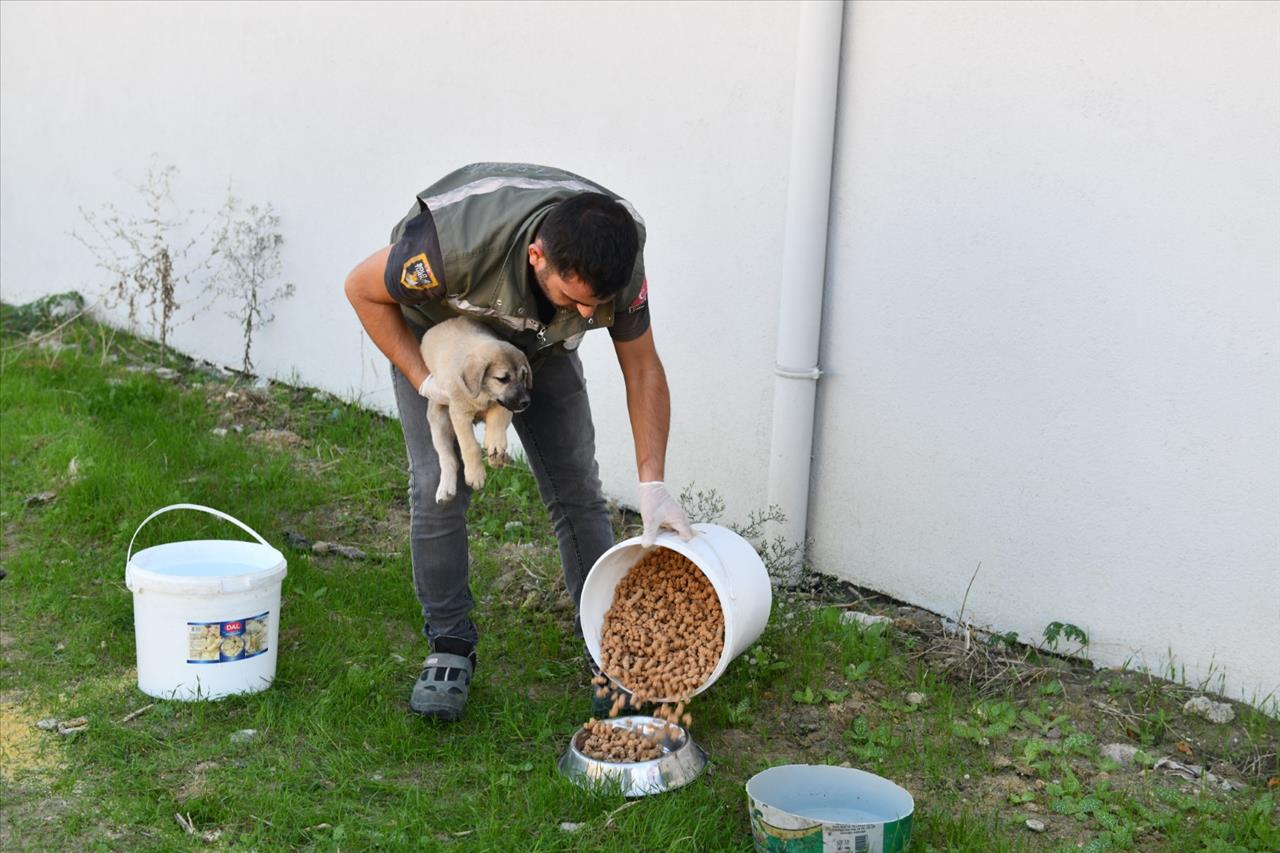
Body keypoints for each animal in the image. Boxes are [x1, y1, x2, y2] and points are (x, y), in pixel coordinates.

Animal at [419, 315, 529, 502]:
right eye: (503, 379)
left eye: (523, 376)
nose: (526, 402)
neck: (483, 395)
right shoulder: (459, 414)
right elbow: (470, 446)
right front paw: (475, 474)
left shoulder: (504, 404)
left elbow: (497, 418)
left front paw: (495, 445)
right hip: (439, 422)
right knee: (449, 459)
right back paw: (446, 489)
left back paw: (500, 457)